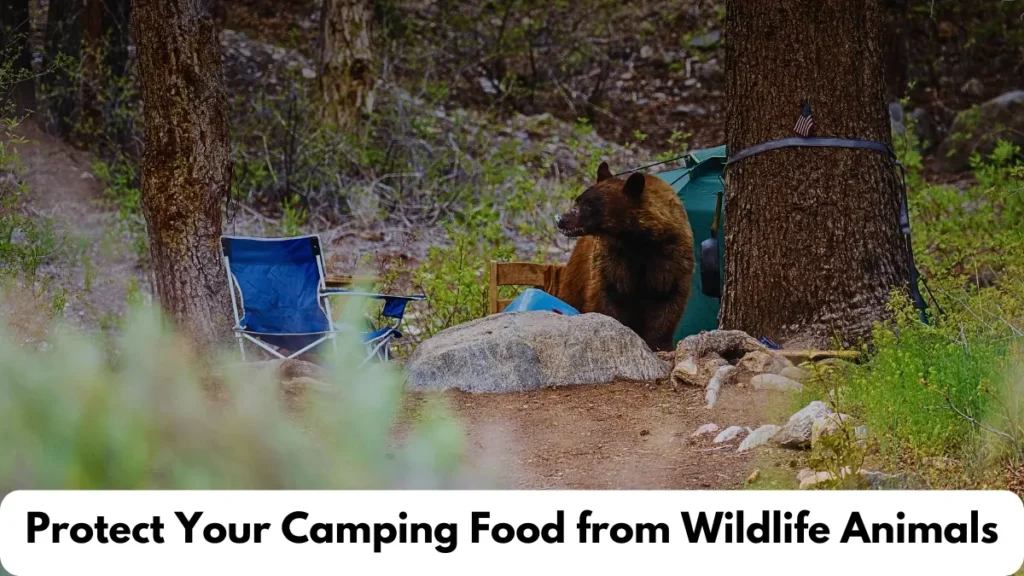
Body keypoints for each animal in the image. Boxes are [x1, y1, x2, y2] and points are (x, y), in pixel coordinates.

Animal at [557, 161, 692, 350]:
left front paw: (659, 344)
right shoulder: (613, 260)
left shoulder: (670, 256)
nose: (561, 220)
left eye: (588, 204)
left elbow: (667, 298)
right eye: (579, 200)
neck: (636, 240)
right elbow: (606, 295)